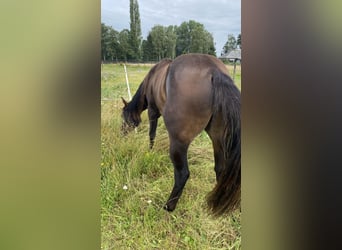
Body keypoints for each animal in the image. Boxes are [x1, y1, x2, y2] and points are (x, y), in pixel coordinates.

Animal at [121, 53, 240, 215]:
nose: (121, 134)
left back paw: (168, 206)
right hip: (218, 138)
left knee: (182, 174)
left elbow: (152, 134)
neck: (152, 78)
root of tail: (214, 71)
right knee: (220, 169)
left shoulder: (152, 111)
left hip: (179, 142)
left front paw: (149, 151)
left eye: (123, 117)